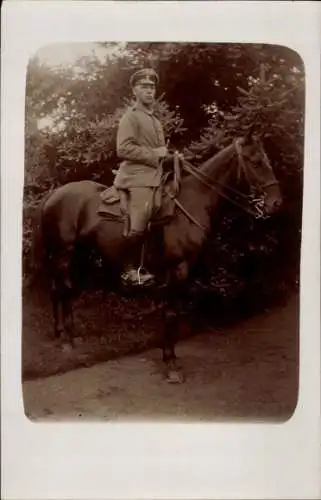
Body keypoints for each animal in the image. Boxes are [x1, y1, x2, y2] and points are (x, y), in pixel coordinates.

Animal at [30, 133, 280, 382]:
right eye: (256, 162)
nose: (276, 203)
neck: (192, 202)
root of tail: (54, 194)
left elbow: (176, 311)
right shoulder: (178, 268)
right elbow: (171, 312)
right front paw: (170, 363)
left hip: (77, 254)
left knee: (59, 289)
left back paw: (61, 334)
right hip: (64, 253)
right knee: (64, 289)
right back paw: (68, 339)